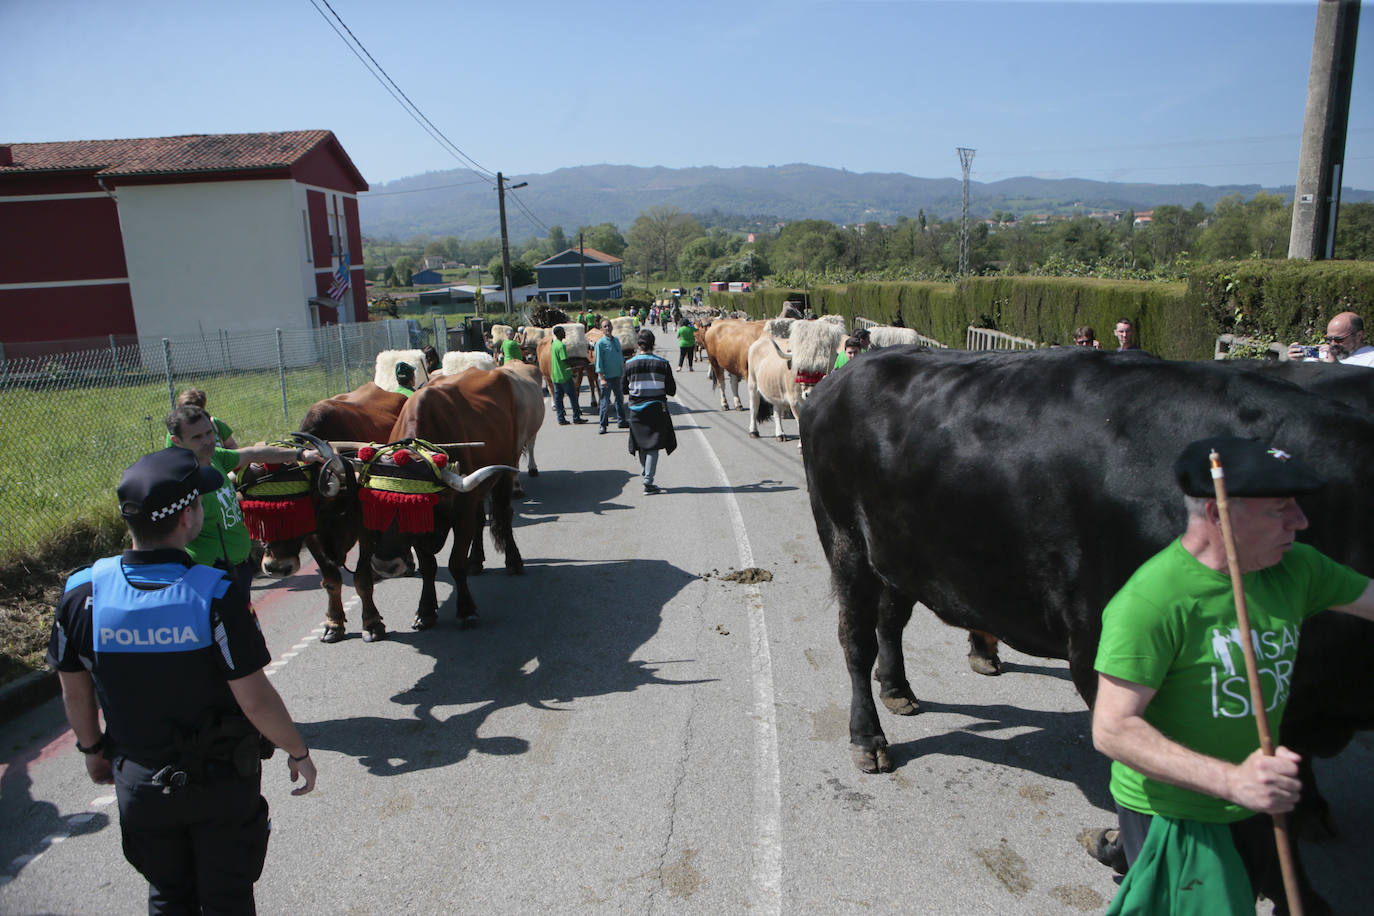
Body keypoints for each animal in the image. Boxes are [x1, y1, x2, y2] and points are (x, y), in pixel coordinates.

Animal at [802, 347, 1374, 780]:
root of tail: (844, 375)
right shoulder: (1105, 648)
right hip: (845, 542)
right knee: (856, 638)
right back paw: (869, 738)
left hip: (897, 551)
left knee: (891, 619)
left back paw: (897, 689)